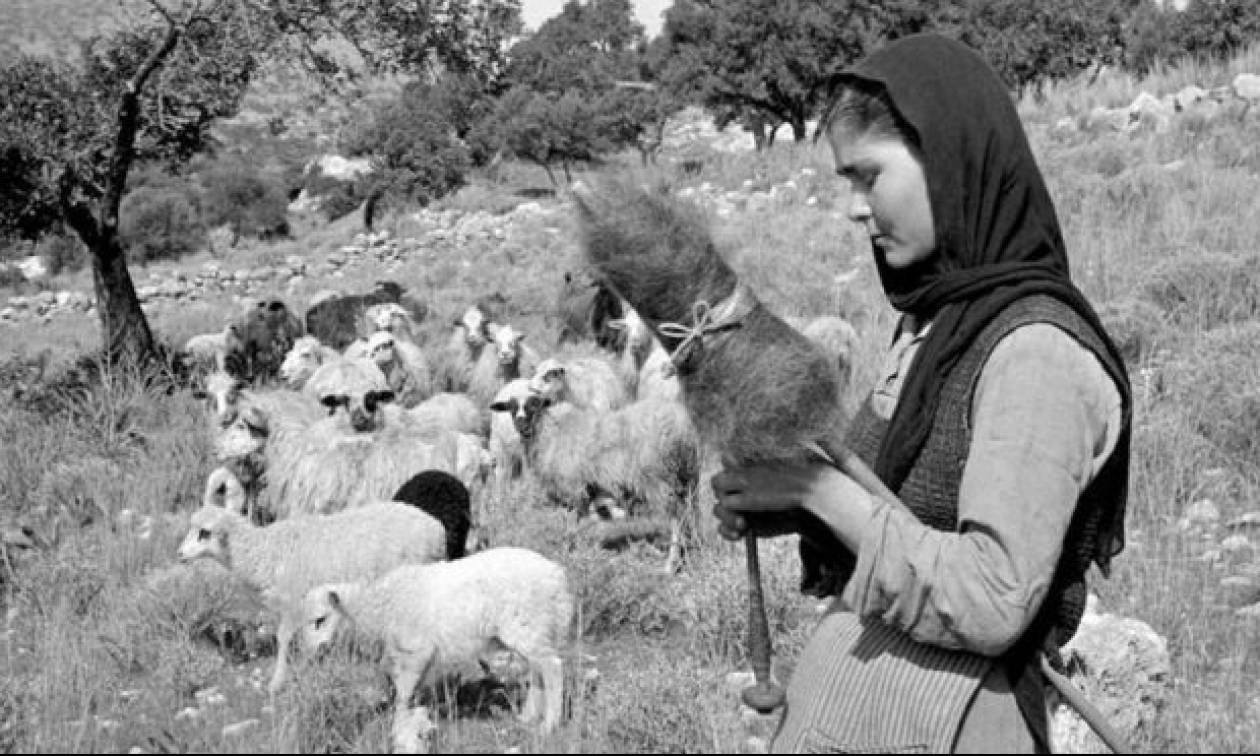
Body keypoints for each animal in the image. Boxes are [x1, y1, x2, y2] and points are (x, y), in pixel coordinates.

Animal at [176, 493, 453, 695]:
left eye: (204, 533)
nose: (179, 554)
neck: (263, 552)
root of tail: (436, 528)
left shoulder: (294, 602)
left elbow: (284, 638)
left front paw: (278, 681)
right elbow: (306, 638)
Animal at [297, 546, 574, 745]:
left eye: (321, 619)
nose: (310, 653)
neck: (379, 608)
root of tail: (557, 575)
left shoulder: (415, 650)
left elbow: (403, 693)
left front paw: (398, 728)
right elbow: (408, 691)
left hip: (528, 623)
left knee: (552, 667)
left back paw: (549, 725)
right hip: (534, 629)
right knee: (538, 670)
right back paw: (528, 717)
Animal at [516, 395, 705, 572]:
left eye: (533, 406)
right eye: (512, 407)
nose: (521, 426)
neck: (552, 431)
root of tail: (680, 424)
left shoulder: (573, 488)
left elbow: (571, 523)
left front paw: (568, 552)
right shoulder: (588, 489)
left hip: (660, 481)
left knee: (677, 520)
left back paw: (671, 564)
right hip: (689, 478)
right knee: (692, 515)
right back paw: (694, 549)